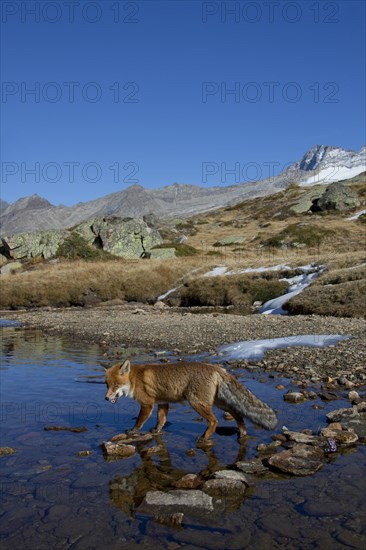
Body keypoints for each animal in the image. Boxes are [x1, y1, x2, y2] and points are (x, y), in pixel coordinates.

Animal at [104, 360, 276, 442]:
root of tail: (217, 368)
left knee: (214, 421)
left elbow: (139, 421)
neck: (134, 379)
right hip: (220, 403)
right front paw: (157, 431)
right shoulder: (162, 403)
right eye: (107, 385)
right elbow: (161, 420)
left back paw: (205, 437)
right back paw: (242, 432)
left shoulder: (148, 404)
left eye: (115, 385)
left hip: (197, 403)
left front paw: (132, 431)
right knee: (238, 414)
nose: (106, 398)